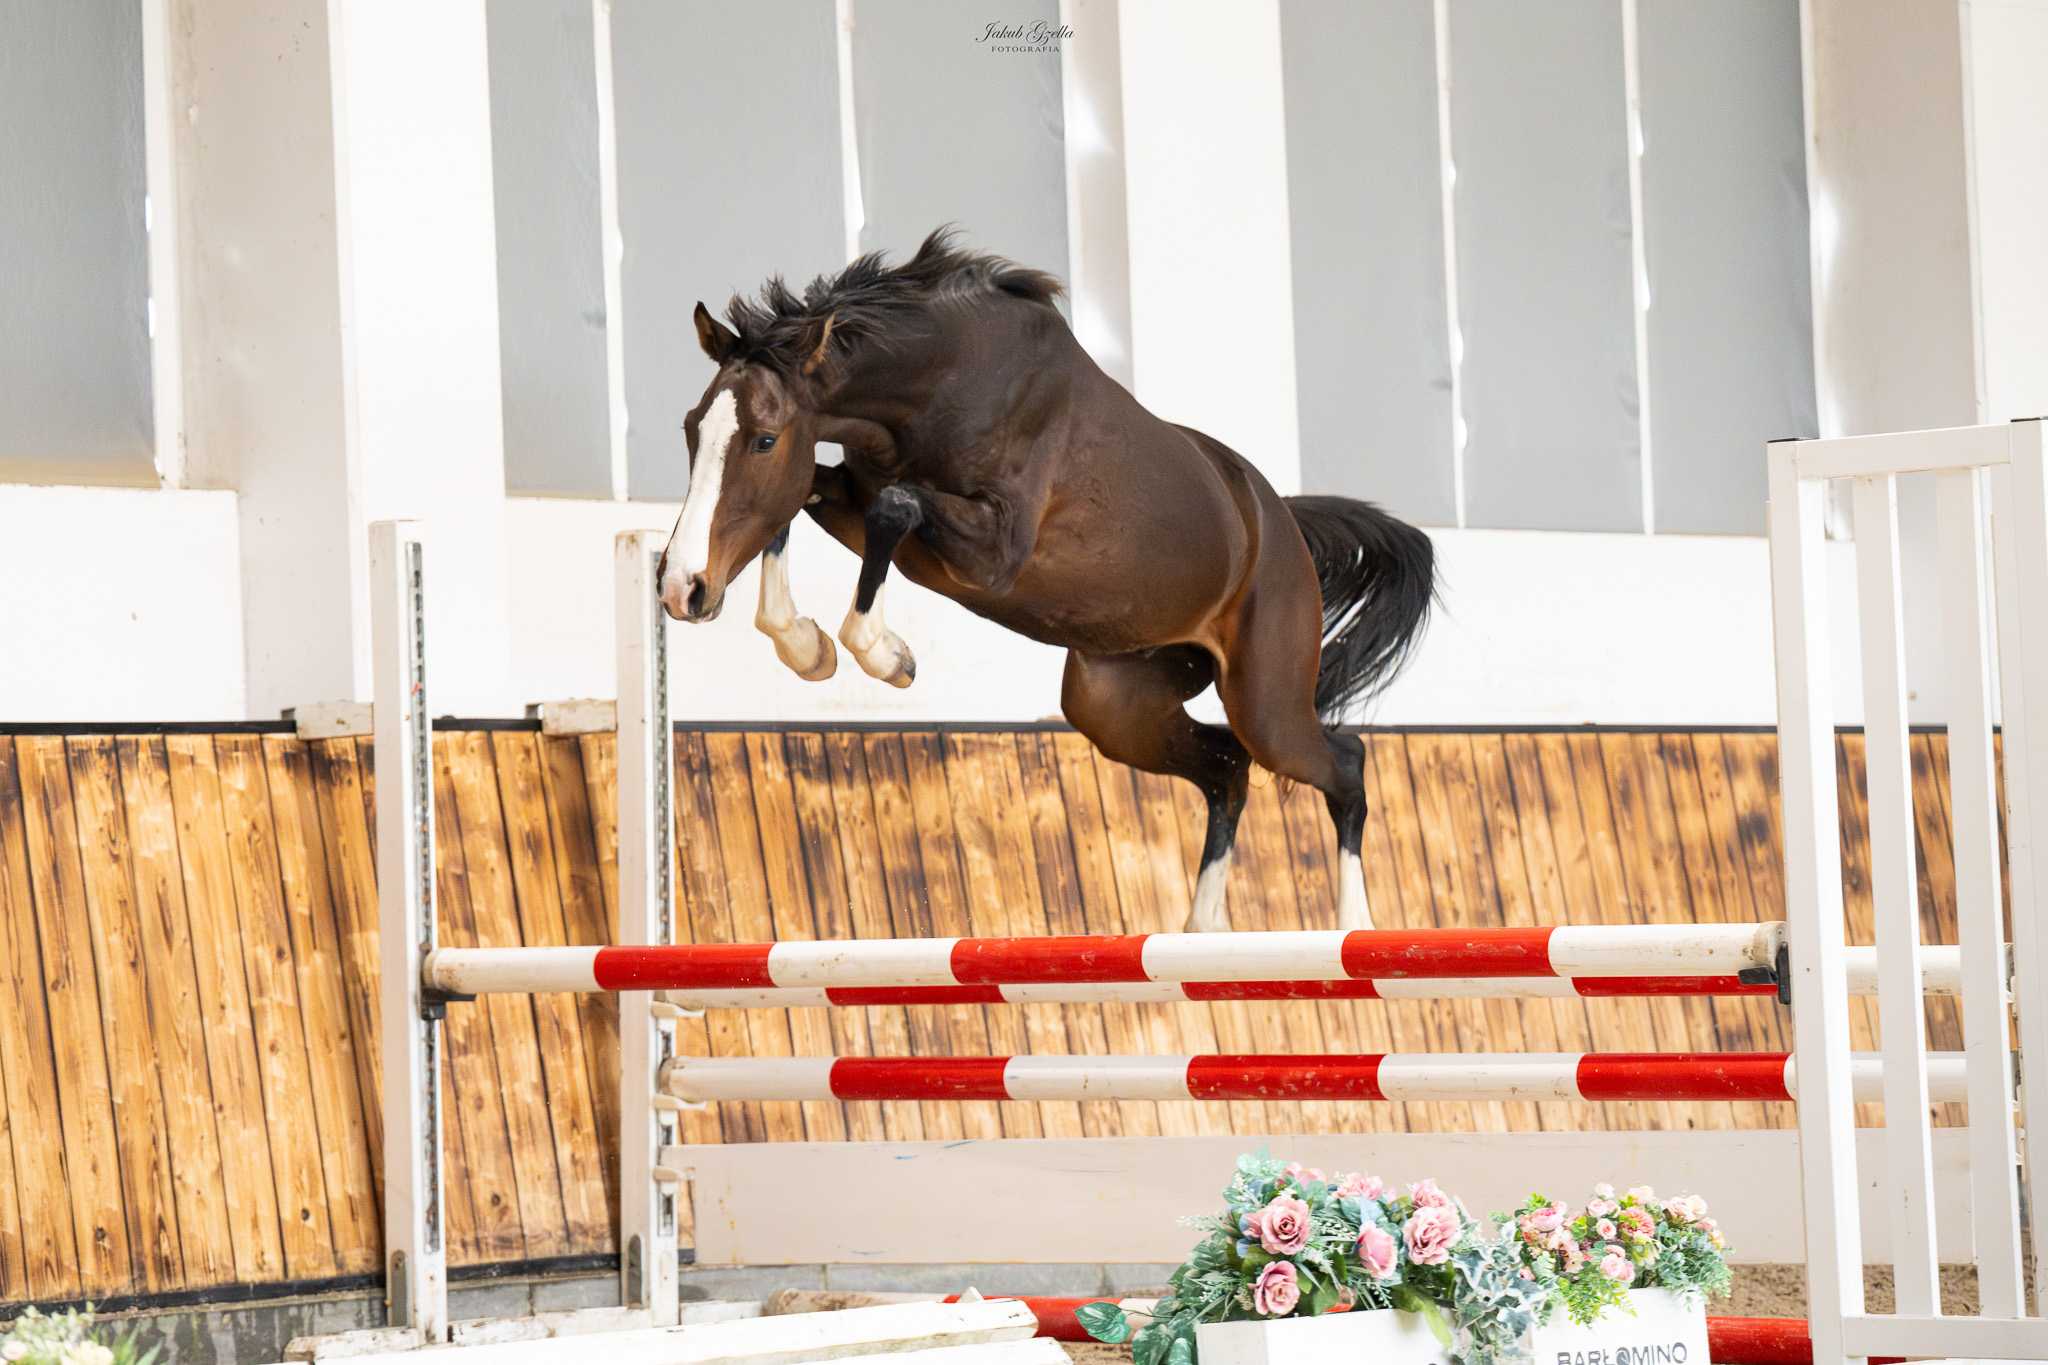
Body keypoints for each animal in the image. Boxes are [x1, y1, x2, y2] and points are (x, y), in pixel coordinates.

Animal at [656, 230, 1435, 931]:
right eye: (692, 428)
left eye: (764, 439)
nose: (679, 588)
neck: (944, 383)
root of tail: (1280, 523)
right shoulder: (859, 501)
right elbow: (800, 507)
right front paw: (806, 646)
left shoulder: (991, 552)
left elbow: (892, 507)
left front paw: (884, 655)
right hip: (1116, 706)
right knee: (1226, 769)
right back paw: (1203, 929)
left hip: (1266, 699)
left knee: (1341, 764)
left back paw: (1352, 926)